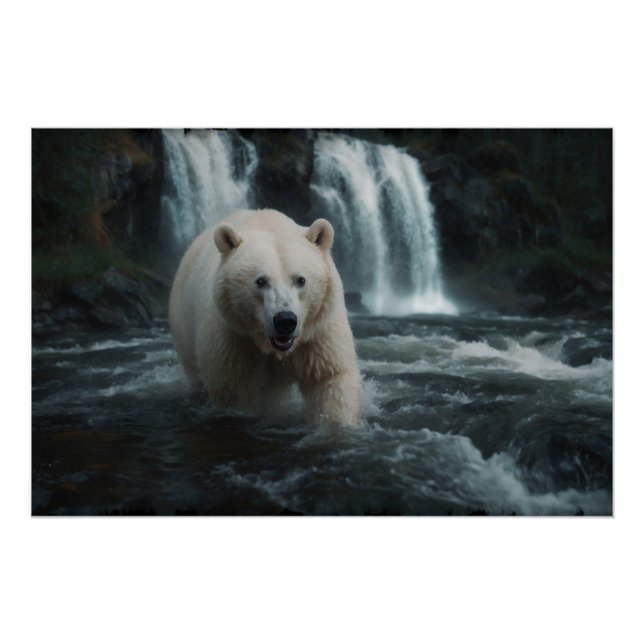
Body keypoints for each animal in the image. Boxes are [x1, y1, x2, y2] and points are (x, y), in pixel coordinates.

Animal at [169, 209, 361, 428]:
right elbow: (236, 389)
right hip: (183, 327)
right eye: (261, 281)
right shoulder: (233, 336)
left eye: (301, 280)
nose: (285, 321)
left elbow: (329, 378)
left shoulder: (318, 331)